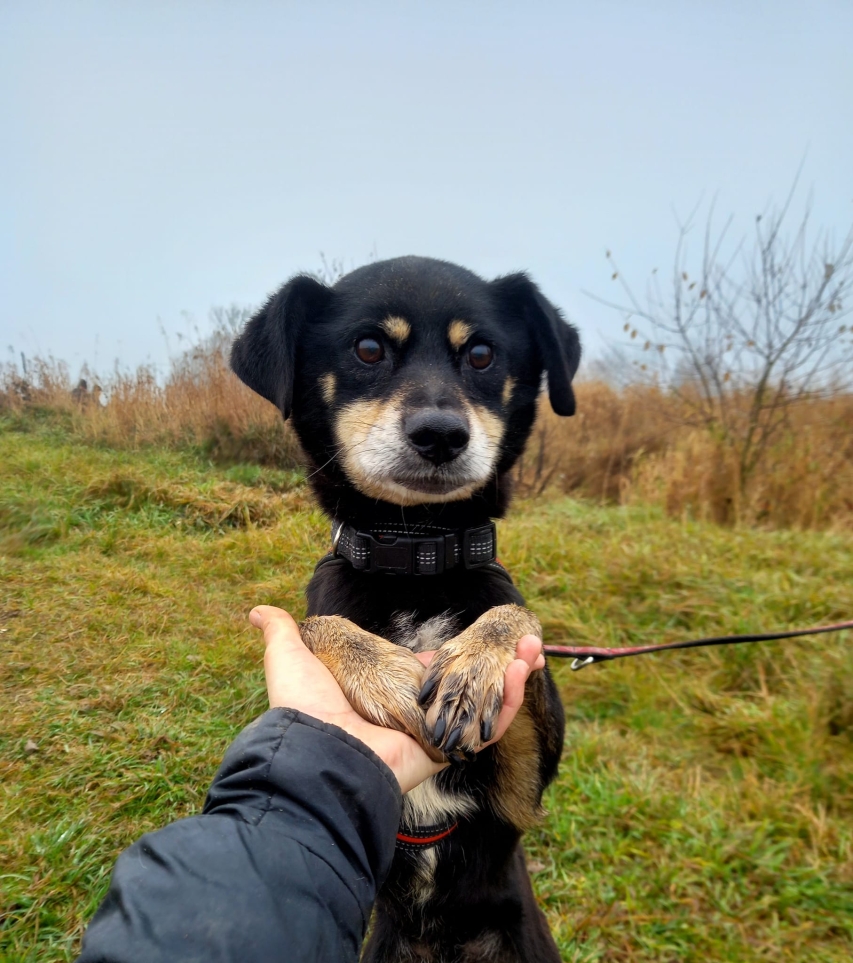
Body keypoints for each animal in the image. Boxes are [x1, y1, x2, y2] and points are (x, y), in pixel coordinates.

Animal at [231, 256, 580, 963]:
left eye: (481, 354)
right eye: (368, 349)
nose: (441, 435)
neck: (417, 554)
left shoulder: (521, 795)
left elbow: (517, 617)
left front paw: (473, 668)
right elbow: (315, 625)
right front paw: (385, 673)